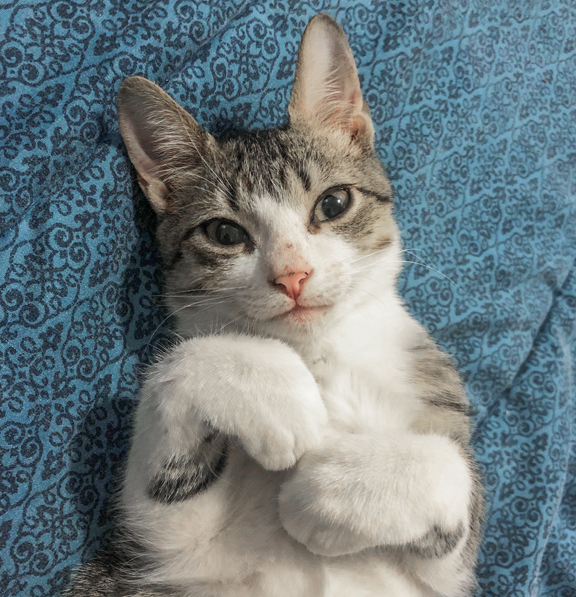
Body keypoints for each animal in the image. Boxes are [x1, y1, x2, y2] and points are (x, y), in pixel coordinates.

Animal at [65, 14, 484, 596]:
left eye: (333, 203)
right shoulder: (171, 550)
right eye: (224, 232)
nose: (292, 275)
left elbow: (452, 472)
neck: (319, 353)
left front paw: (328, 492)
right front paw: (279, 399)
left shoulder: (446, 572)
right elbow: (173, 386)